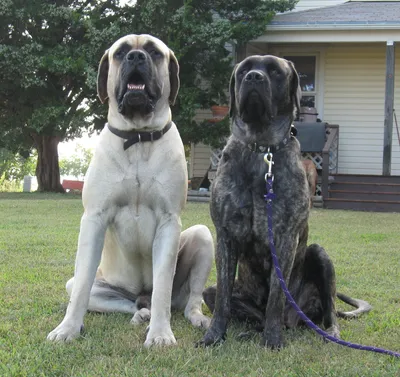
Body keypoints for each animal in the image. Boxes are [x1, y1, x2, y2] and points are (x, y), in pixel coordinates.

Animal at [48, 33, 214, 346]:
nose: (135, 57)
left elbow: (162, 287)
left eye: (154, 52)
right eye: (120, 52)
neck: (137, 138)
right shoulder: (94, 218)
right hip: (101, 287)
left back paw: (195, 317)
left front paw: (160, 334)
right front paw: (68, 329)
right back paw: (141, 314)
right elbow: (81, 288)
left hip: (202, 237)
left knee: (188, 299)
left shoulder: (168, 221)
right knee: (123, 301)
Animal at [198, 54, 370, 348]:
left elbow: (276, 299)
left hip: (319, 255)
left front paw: (272, 340)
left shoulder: (286, 239)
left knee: (327, 312)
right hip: (214, 291)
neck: (262, 150)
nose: (253, 77)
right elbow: (222, 301)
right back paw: (249, 331)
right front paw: (214, 336)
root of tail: (296, 318)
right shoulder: (225, 235)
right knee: (238, 306)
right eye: (243, 70)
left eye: (276, 71)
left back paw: (328, 333)